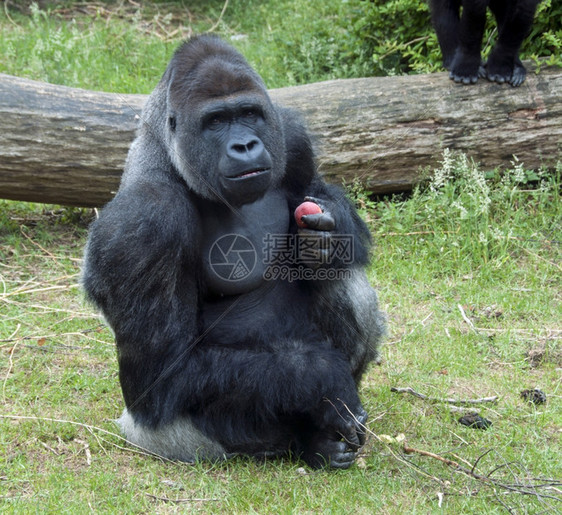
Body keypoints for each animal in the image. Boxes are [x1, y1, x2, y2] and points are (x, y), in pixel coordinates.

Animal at [81, 35, 382, 472]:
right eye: (216, 121)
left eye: (249, 114)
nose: (244, 145)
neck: (172, 155)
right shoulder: (142, 223)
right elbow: (165, 373)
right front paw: (320, 375)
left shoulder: (290, 135)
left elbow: (320, 207)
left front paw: (327, 236)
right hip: (152, 433)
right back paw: (304, 439)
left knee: (346, 281)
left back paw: (319, 441)